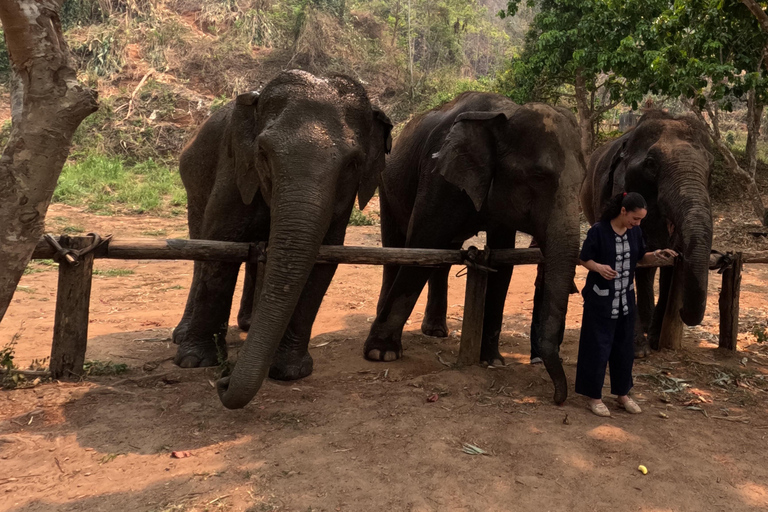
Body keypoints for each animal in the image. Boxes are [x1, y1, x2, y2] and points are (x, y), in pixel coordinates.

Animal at [172, 70, 390, 410]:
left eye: (353, 164)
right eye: (263, 153)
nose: (224, 380)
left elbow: (324, 258)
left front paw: (290, 371)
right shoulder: (235, 171)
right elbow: (220, 247)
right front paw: (196, 361)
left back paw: (248, 325)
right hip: (193, 183)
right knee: (200, 248)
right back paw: (183, 336)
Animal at [364, 92, 584, 404]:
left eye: (583, 179)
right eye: (539, 176)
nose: (556, 398)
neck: (504, 114)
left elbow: (502, 263)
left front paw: (492, 360)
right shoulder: (438, 176)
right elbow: (421, 244)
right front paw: (380, 354)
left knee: (442, 259)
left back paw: (436, 331)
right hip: (386, 182)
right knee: (396, 248)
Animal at [584, 110, 712, 356]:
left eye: (709, 163)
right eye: (651, 164)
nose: (682, 311)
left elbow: (668, 267)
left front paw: (654, 341)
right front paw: (638, 351)